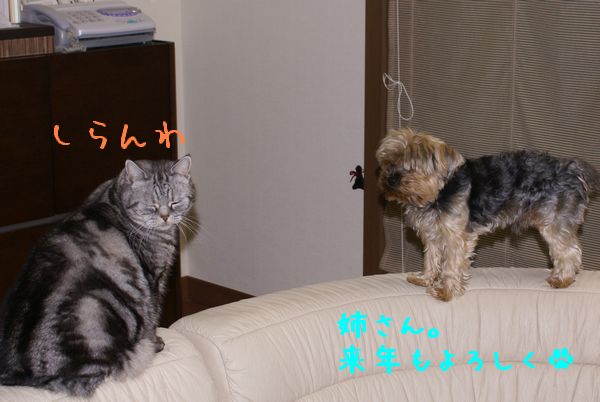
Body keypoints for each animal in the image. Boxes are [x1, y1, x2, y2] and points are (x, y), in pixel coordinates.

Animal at [0, 155, 195, 397]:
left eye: (175, 202)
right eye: (152, 206)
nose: (166, 216)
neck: (113, 196)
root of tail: (23, 373)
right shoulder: (153, 281)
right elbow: (152, 317)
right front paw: (156, 342)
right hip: (93, 305)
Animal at [376, 128, 600, 301]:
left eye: (413, 167)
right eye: (388, 163)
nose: (391, 179)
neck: (436, 194)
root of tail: (573, 170)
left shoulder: (456, 236)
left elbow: (451, 264)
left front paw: (446, 292)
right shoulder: (433, 234)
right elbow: (431, 257)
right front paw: (424, 278)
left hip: (553, 221)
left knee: (569, 252)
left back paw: (562, 280)